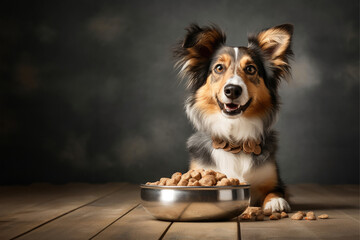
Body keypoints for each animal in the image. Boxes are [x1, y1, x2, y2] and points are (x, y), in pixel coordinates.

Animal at [173, 23, 294, 212]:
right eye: (219, 68)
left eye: (251, 69)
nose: (232, 90)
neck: (234, 139)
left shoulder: (275, 180)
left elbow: (275, 191)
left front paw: (276, 201)